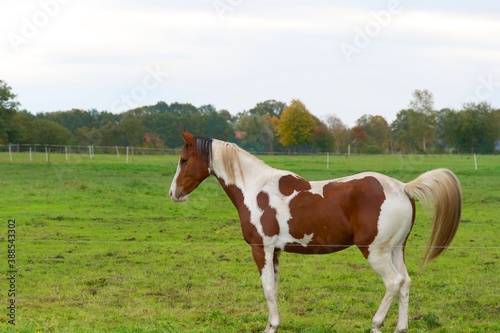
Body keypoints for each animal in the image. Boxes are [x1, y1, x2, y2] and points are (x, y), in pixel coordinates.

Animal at [168, 132, 460, 332]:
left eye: (184, 160)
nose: (174, 193)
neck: (255, 187)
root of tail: (403, 188)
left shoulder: (261, 249)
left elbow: (267, 289)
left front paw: (270, 326)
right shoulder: (275, 251)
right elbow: (274, 288)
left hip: (375, 252)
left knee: (393, 282)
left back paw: (376, 324)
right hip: (396, 250)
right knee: (405, 283)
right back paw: (400, 327)